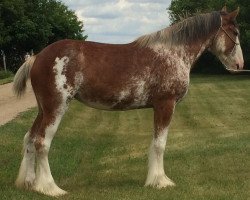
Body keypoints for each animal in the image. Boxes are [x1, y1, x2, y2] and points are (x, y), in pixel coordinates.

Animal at [12, 7, 243, 197]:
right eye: (236, 33)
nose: (240, 65)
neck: (173, 53)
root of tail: (37, 57)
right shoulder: (165, 105)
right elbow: (159, 145)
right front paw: (160, 181)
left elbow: (154, 143)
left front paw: (154, 179)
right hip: (56, 108)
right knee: (42, 142)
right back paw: (50, 188)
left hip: (43, 109)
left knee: (29, 138)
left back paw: (29, 183)